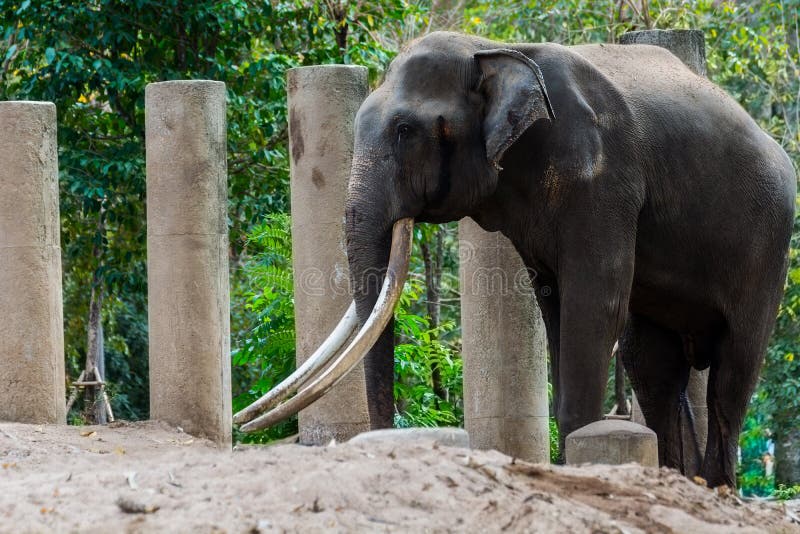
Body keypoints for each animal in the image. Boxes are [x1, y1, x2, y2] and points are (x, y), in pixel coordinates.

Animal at [236, 31, 796, 488]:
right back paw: (683, 481)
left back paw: (718, 488)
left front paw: (577, 461)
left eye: (405, 131)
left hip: (769, 241)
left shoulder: (603, 181)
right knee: (654, 365)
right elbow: (554, 303)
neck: (492, 49)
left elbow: (595, 305)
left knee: (732, 372)